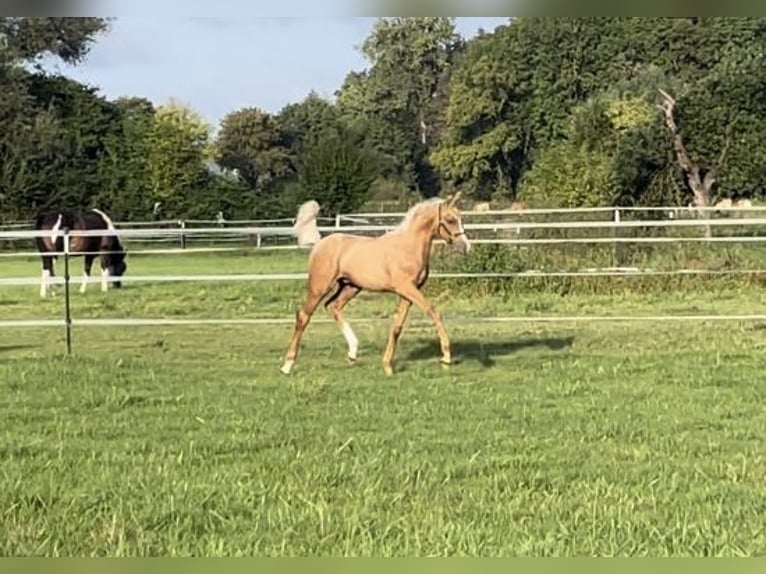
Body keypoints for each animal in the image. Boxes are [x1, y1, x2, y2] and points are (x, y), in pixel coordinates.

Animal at [282, 194, 474, 378]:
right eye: (450, 220)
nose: (465, 247)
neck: (408, 247)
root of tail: (319, 243)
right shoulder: (407, 288)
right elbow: (434, 312)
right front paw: (446, 358)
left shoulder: (408, 293)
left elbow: (397, 328)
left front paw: (388, 366)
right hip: (320, 286)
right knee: (304, 316)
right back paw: (287, 365)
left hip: (350, 286)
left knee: (333, 306)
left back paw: (353, 353)